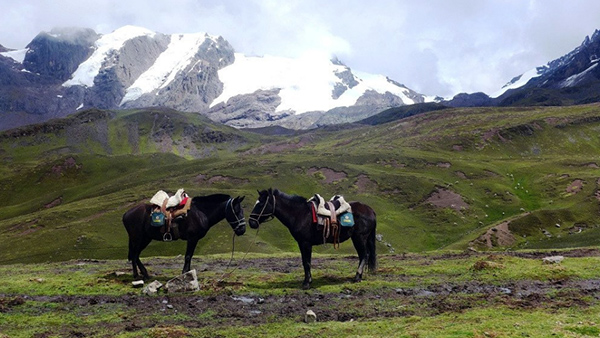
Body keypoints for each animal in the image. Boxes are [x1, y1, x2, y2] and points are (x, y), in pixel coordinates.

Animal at [248, 189, 376, 290]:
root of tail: (370, 210)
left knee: (364, 255)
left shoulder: (305, 243)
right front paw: (307, 281)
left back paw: (357, 277)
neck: (299, 214)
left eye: (261, 204)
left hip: (359, 237)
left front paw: (306, 283)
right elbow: (305, 261)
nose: (251, 222)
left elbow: (307, 262)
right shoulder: (302, 243)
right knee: (364, 255)